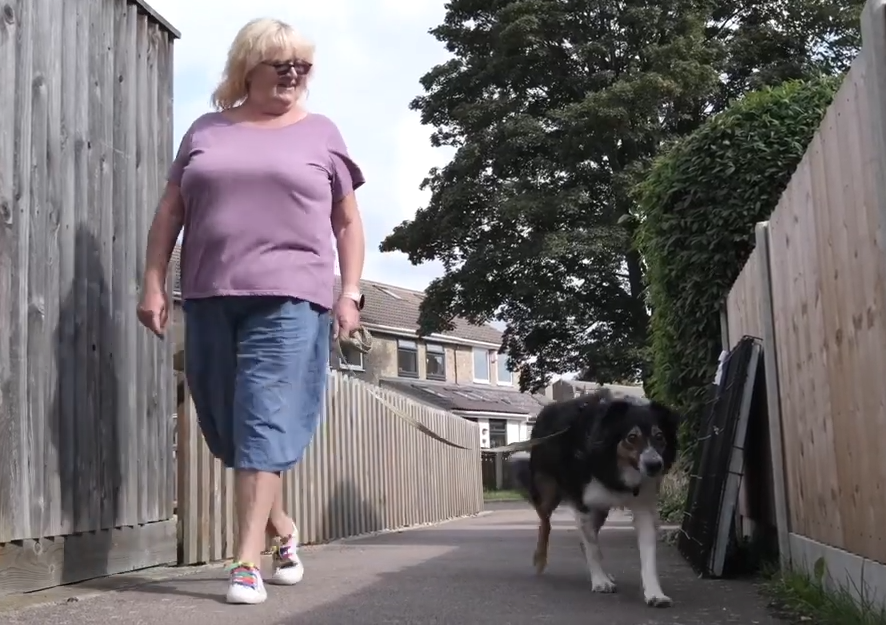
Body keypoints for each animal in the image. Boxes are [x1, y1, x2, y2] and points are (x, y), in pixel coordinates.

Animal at [508, 389, 680, 607]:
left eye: (659, 437)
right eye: (631, 437)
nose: (655, 465)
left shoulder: (643, 506)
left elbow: (648, 556)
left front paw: (655, 593)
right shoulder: (584, 506)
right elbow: (593, 548)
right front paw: (600, 581)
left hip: (601, 509)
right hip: (548, 491)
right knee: (545, 523)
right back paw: (540, 559)